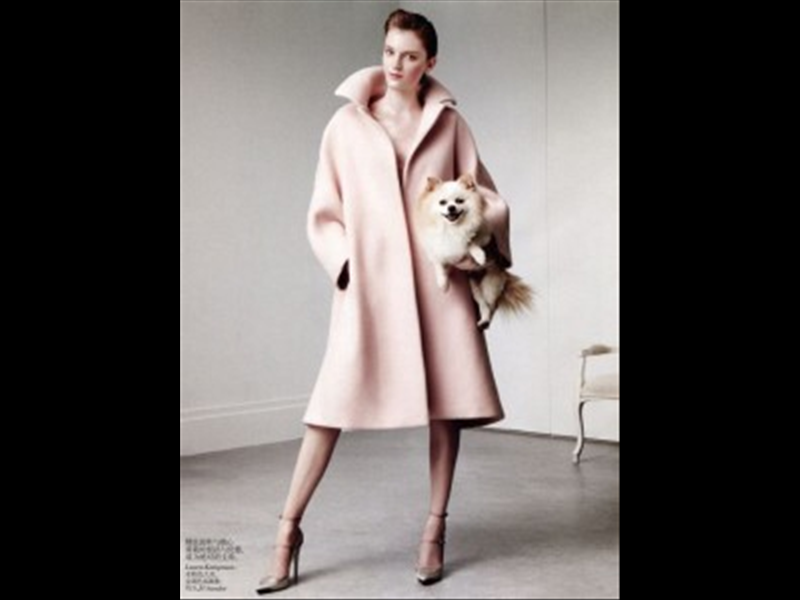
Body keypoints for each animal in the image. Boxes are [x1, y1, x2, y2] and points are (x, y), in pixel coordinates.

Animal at [414, 173, 534, 329]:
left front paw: (479, 255)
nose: (451, 207)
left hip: (489, 284)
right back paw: (484, 320)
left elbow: (471, 242)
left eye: (459, 201)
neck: (453, 228)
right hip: (475, 288)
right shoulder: (437, 249)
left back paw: (486, 320)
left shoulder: (485, 235)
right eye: (442, 202)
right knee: (483, 305)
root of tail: (505, 274)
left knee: (491, 305)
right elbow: (439, 264)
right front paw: (443, 283)